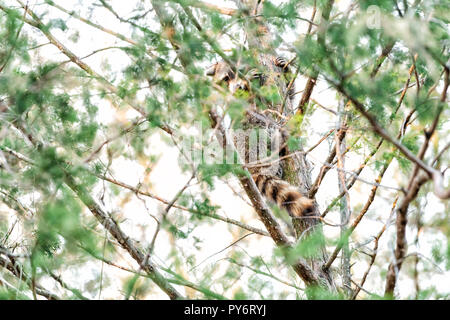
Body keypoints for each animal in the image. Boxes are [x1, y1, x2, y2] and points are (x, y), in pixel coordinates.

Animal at [207, 57, 314, 218]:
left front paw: (285, 70)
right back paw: (278, 138)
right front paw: (246, 85)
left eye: (240, 70)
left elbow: (290, 95)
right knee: (254, 123)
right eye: (226, 79)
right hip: (248, 138)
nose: (238, 86)